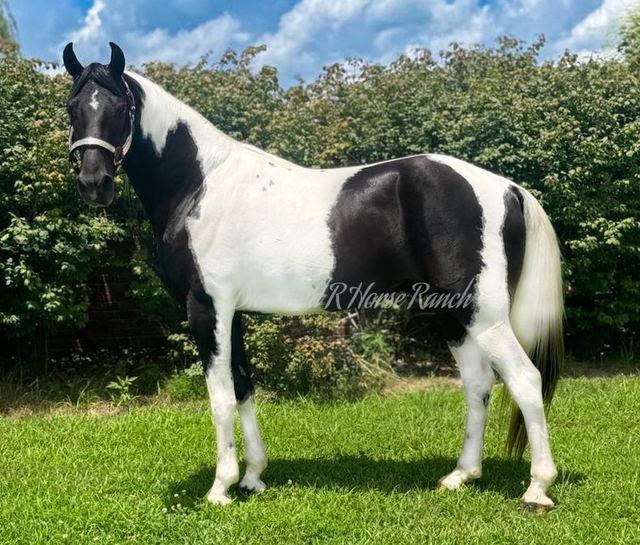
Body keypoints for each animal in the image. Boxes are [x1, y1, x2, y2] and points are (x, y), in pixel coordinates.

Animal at [63, 42, 563, 509]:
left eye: (121, 107)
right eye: (72, 106)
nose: (93, 183)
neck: (200, 184)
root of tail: (508, 188)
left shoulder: (207, 309)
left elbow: (220, 396)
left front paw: (221, 487)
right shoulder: (234, 313)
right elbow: (243, 387)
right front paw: (253, 477)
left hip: (485, 316)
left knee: (525, 380)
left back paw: (537, 488)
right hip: (452, 314)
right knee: (478, 384)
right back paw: (461, 475)